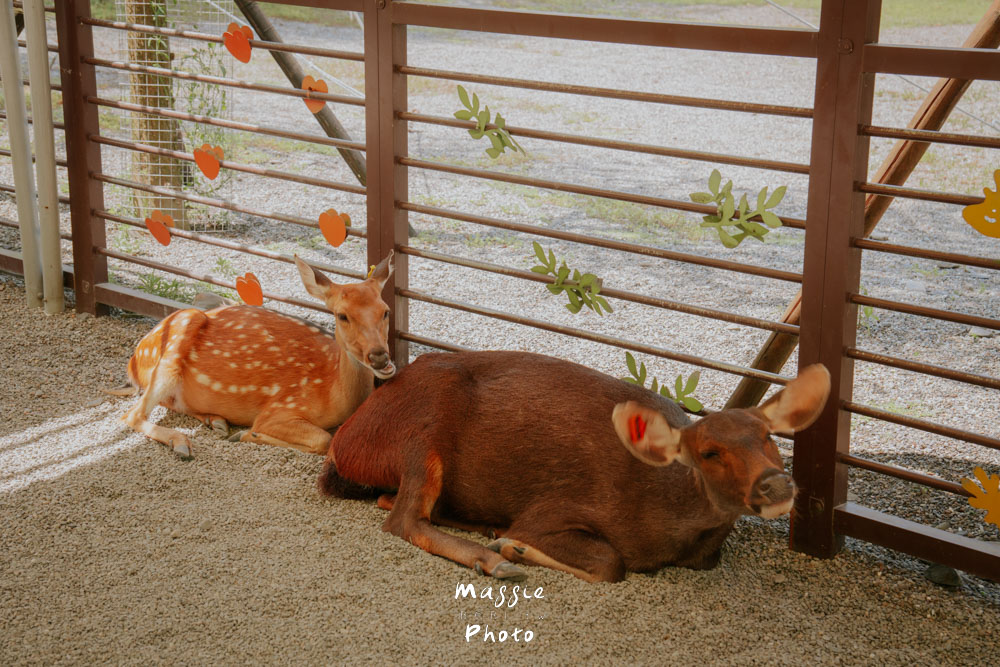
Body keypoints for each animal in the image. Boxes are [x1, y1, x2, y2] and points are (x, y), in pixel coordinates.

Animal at [117, 252, 396, 459]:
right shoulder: (281, 408)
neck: (333, 389)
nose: (379, 357)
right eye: (342, 315)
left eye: (385, 311)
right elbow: (324, 439)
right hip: (174, 344)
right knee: (131, 414)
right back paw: (182, 443)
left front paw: (237, 433)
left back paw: (216, 422)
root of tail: (132, 362)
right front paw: (247, 434)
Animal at [317, 351, 830, 583]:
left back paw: (485, 530)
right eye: (709, 452)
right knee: (402, 519)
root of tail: (346, 442)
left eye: (768, 436)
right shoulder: (557, 507)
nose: (776, 485)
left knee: (397, 504)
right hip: (423, 435)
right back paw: (494, 558)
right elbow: (610, 563)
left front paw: (506, 541)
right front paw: (516, 548)